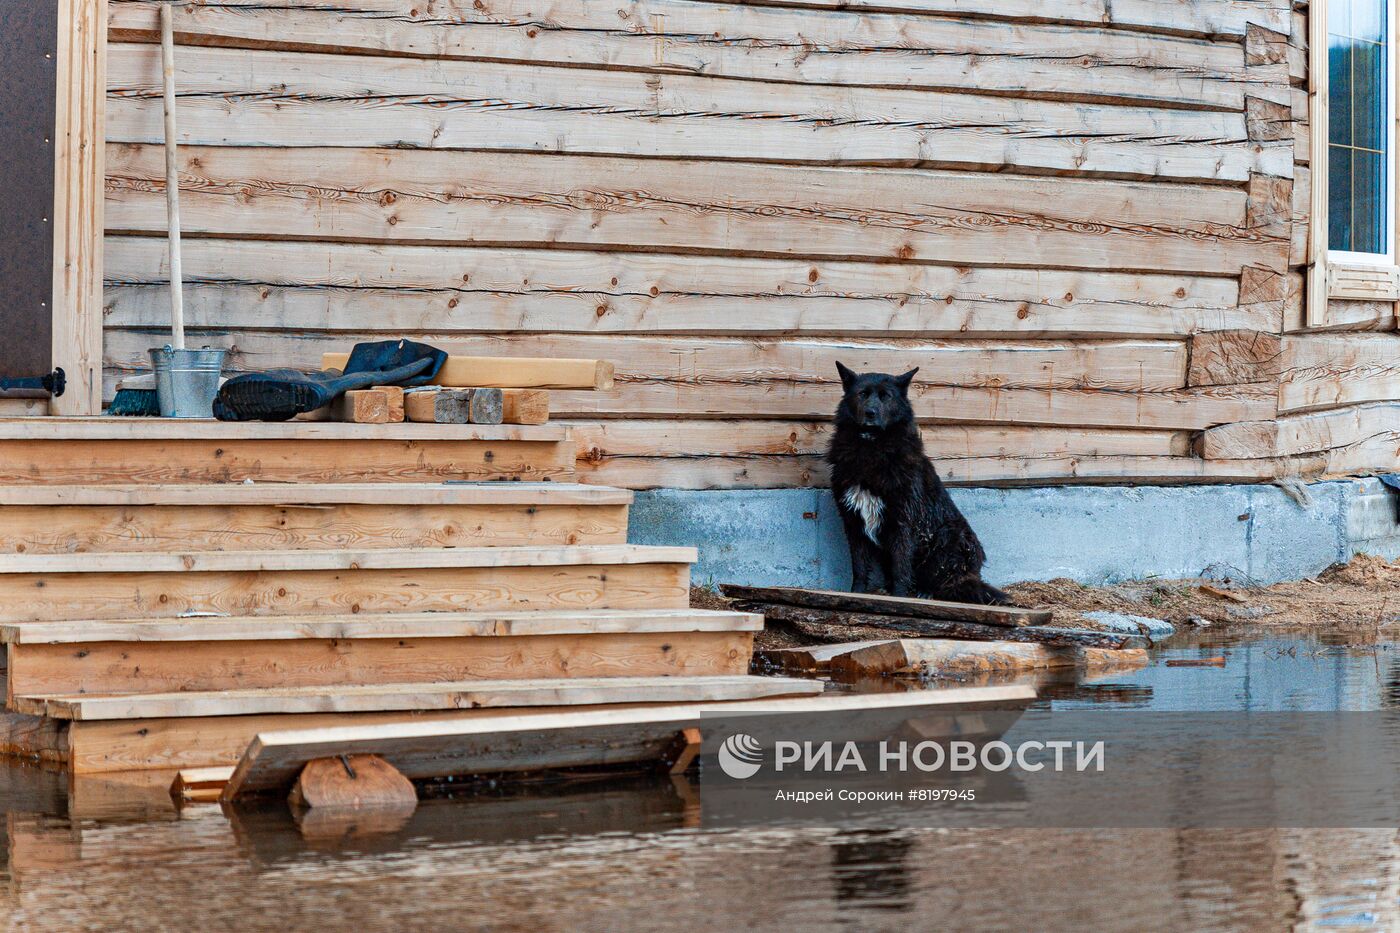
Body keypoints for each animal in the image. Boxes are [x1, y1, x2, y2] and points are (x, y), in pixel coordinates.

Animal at [823, 364, 1013, 602]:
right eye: (862, 394)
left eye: (886, 396)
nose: (870, 413)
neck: (871, 447)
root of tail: (971, 575)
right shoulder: (854, 521)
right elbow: (859, 567)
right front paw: (856, 593)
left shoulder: (903, 522)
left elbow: (900, 567)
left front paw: (899, 596)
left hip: (950, 535)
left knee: (943, 584)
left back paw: (925, 592)